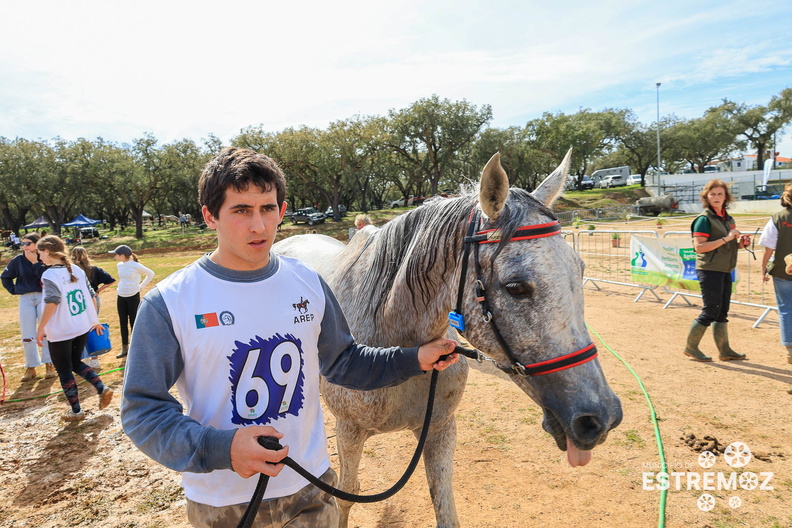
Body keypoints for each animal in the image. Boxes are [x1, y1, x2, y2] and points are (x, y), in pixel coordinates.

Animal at [276, 151, 620, 524]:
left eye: (580, 270)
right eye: (515, 287)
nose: (601, 417)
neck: (393, 347)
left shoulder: (440, 429)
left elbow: (444, 505)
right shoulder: (349, 431)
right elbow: (345, 496)